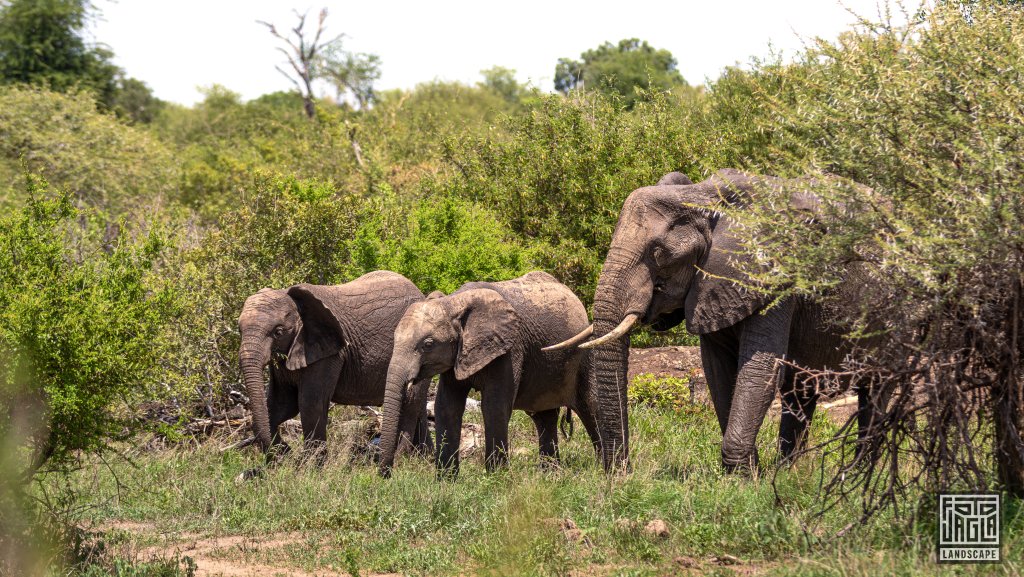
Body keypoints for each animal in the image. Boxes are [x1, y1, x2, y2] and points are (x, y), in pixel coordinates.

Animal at [237, 272, 430, 469]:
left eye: (278, 332)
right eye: (239, 330)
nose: (281, 455)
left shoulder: (330, 354)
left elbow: (310, 403)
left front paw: (311, 467)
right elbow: (280, 405)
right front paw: (287, 456)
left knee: (410, 404)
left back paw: (402, 460)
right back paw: (424, 459)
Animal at [376, 270, 598, 479]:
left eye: (428, 344)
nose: (385, 474)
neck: (453, 302)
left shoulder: (509, 348)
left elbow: (494, 406)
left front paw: (496, 479)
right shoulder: (456, 355)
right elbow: (447, 406)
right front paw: (446, 482)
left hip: (583, 353)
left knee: (590, 407)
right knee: (544, 417)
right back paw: (550, 476)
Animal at [548, 168, 876, 473]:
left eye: (658, 253)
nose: (620, 472)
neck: (703, 197)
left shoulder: (773, 276)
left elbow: (760, 368)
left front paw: (742, 478)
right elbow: (717, 370)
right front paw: (746, 473)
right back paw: (789, 471)